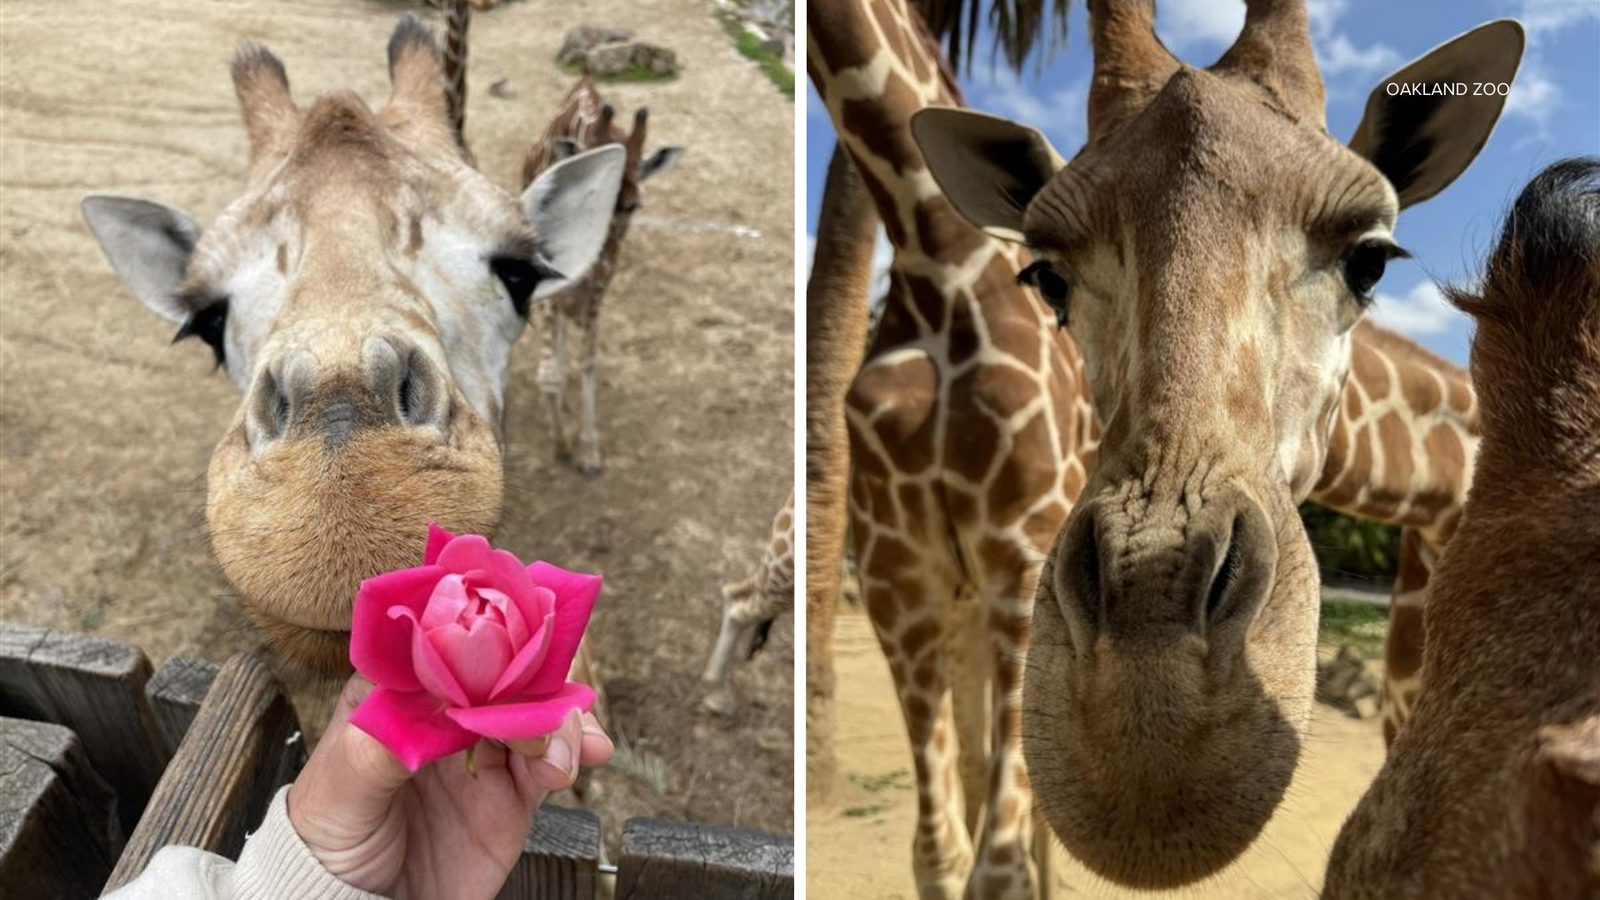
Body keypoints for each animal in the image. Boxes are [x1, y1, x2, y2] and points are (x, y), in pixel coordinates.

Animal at [522, 75, 683, 476]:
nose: (585, 270)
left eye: (633, 207)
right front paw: (561, 444)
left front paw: (590, 452)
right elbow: (548, 373)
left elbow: (587, 363)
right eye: (590, 199)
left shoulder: (597, 291)